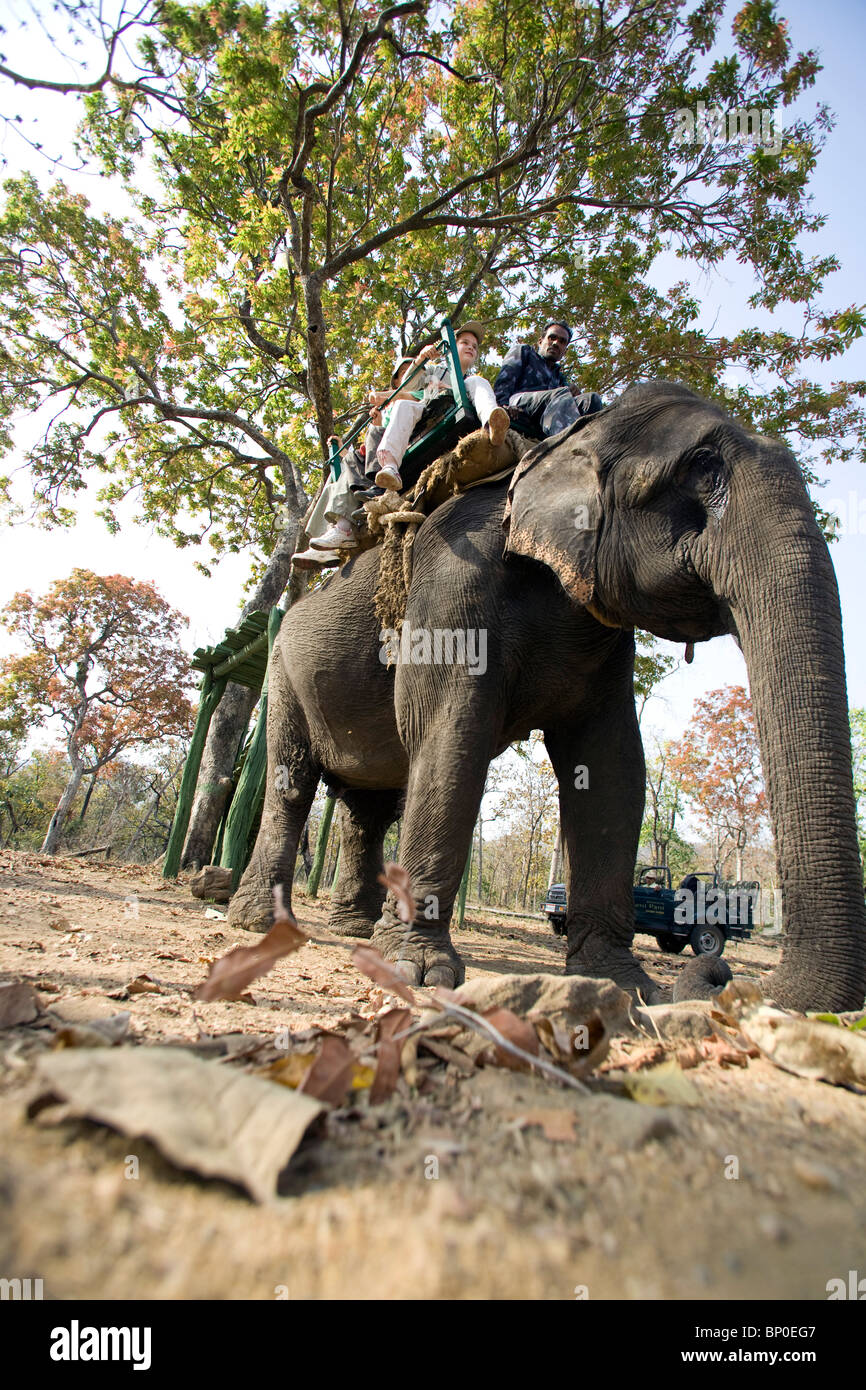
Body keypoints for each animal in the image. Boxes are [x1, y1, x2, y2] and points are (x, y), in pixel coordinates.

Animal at [229, 380, 866, 1011]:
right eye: (702, 471)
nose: (720, 974)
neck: (561, 446)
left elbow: (612, 765)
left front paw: (624, 985)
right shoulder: (451, 578)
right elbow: (448, 733)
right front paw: (420, 972)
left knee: (369, 806)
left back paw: (355, 929)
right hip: (283, 674)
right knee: (292, 781)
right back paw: (259, 921)